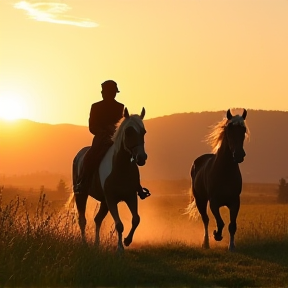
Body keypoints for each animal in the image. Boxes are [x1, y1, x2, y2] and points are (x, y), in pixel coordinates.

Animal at [69, 108, 148, 252]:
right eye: (128, 131)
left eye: (143, 131)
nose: (141, 158)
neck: (121, 169)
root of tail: (79, 155)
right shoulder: (111, 199)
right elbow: (119, 225)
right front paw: (120, 249)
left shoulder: (131, 197)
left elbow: (136, 219)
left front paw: (127, 241)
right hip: (82, 195)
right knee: (82, 220)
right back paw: (85, 244)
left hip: (104, 202)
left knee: (97, 219)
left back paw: (96, 244)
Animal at [186, 108, 249, 250]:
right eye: (229, 129)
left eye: (243, 129)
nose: (239, 155)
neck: (224, 171)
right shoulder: (214, 202)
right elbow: (220, 222)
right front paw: (217, 235)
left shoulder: (235, 202)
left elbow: (232, 225)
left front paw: (232, 246)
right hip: (201, 200)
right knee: (205, 219)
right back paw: (206, 243)